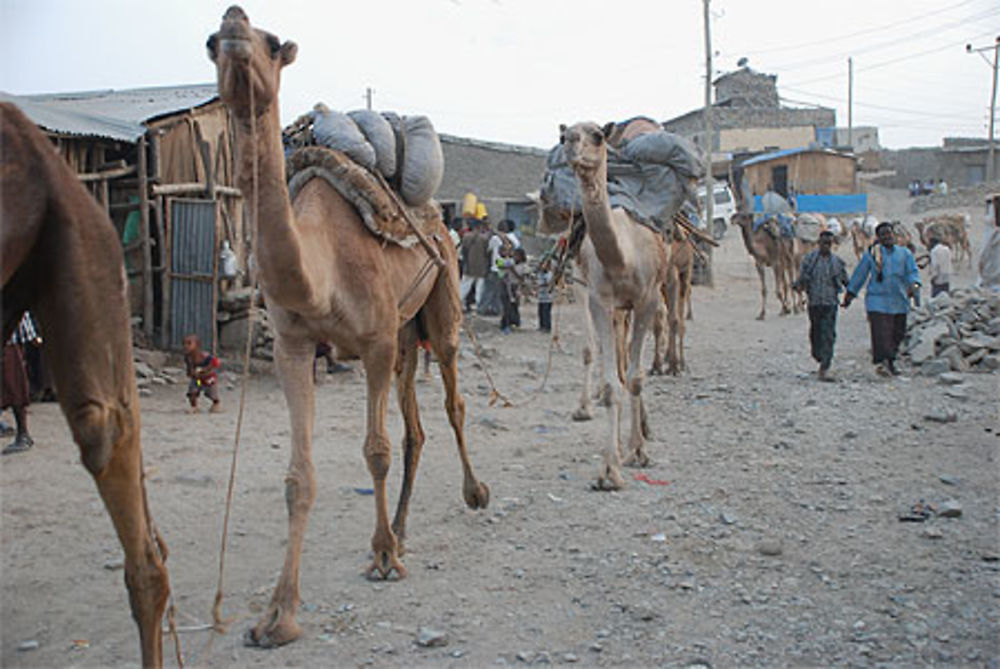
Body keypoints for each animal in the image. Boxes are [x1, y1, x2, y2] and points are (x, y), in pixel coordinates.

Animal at [207, 6, 488, 648]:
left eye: (272, 43)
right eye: (211, 42)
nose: (233, 23)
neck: (320, 268)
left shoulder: (376, 343)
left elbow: (375, 451)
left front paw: (382, 558)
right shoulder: (294, 346)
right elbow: (298, 477)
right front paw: (277, 616)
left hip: (439, 303)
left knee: (452, 402)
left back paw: (472, 495)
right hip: (407, 333)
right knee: (416, 426)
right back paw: (403, 529)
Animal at [560, 121, 668, 490]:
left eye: (597, 135)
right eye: (563, 133)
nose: (569, 143)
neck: (622, 256)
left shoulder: (647, 299)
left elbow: (635, 378)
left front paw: (639, 451)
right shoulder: (599, 300)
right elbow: (611, 384)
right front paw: (609, 470)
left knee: (631, 367)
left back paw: (640, 436)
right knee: (612, 361)